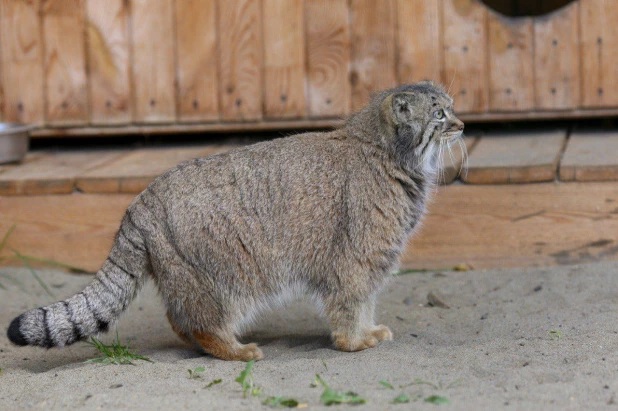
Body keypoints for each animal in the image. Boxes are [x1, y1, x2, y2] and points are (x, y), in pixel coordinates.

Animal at [8, 82, 462, 362]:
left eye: (451, 109)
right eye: (439, 115)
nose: (461, 125)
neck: (387, 154)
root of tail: (140, 200)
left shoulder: (368, 262)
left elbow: (366, 302)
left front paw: (368, 332)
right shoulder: (355, 258)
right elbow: (352, 303)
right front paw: (354, 341)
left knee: (178, 319)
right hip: (227, 278)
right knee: (203, 322)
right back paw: (234, 350)